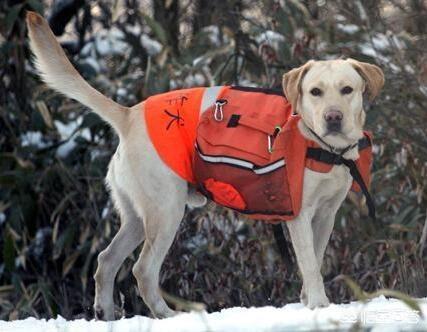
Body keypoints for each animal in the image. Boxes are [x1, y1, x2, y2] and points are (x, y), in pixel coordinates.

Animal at [27, 12, 384, 320]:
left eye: (347, 90)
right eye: (315, 92)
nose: (333, 117)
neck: (327, 149)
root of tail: (128, 115)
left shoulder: (326, 215)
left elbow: (316, 258)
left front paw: (308, 300)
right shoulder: (299, 215)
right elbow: (310, 263)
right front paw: (319, 306)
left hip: (138, 217)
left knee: (106, 260)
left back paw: (106, 313)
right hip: (166, 210)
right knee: (142, 270)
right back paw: (168, 315)